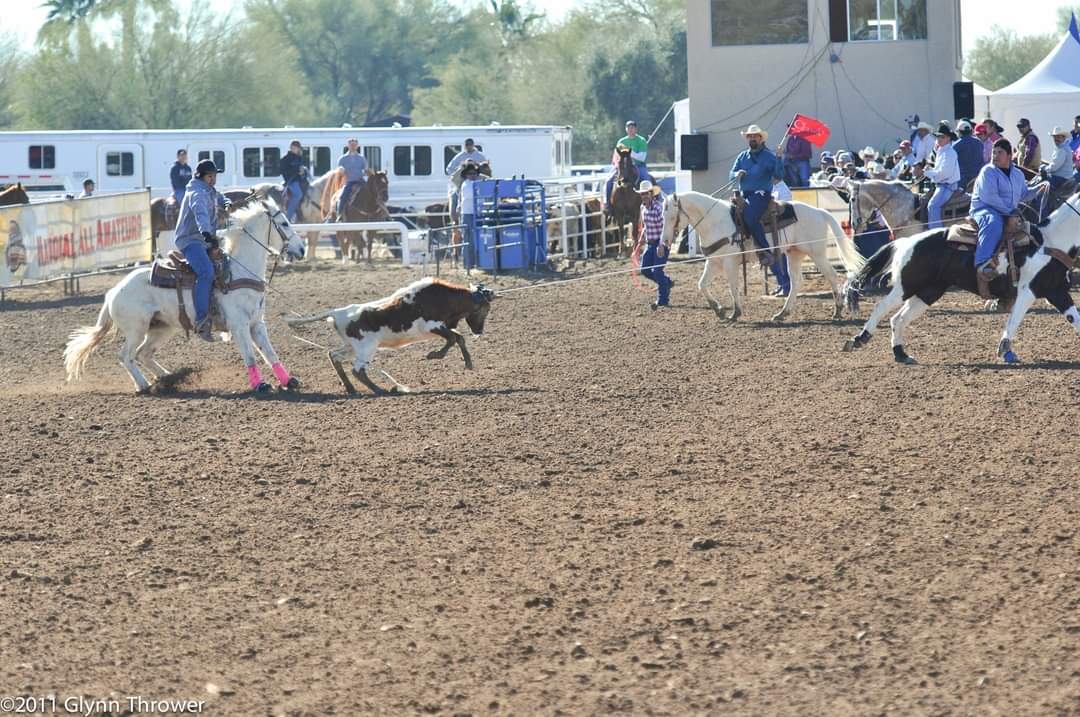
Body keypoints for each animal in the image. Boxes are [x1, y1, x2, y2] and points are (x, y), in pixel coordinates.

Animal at [65, 197, 306, 393]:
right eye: (285, 223)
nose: (302, 249)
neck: (238, 271)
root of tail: (113, 292)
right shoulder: (239, 325)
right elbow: (250, 356)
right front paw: (260, 385)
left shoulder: (257, 324)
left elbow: (271, 354)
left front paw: (289, 380)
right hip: (136, 329)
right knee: (126, 356)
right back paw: (144, 385)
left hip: (162, 328)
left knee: (144, 354)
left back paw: (169, 377)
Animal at [282, 276, 494, 395]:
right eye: (485, 309)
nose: (479, 331)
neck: (444, 298)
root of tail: (337, 313)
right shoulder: (432, 326)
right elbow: (453, 338)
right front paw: (434, 355)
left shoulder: (440, 327)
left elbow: (458, 337)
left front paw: (468, 362)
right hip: (366, 348)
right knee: (357, 370)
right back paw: (379, 389)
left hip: (351, 347)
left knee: (334, 356)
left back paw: (351, 388)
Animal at [660, 192, 864, 323]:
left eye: (671, 216)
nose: (665, 242)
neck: (716, 222)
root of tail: (820, 212)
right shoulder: (714, 262)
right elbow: (702, 284)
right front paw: (719, 310)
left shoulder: (730, 262)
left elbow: (733, 287)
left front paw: (735, 313)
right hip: (794, 254)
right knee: (796, 282)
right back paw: (782, 314)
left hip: (817, 254)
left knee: (831, 276)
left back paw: (837, 311)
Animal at [842, 193, 1080, 364]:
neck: (1050, 241)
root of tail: (907, 241)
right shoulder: (1027, 290)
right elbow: (1014, 320)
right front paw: (1005, 350)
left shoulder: (1057, 291)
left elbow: (1074, 318)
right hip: (906, 287)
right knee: (881, 308)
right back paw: (859, 339)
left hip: (929, 292)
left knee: (898, 319)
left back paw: (901, 354)